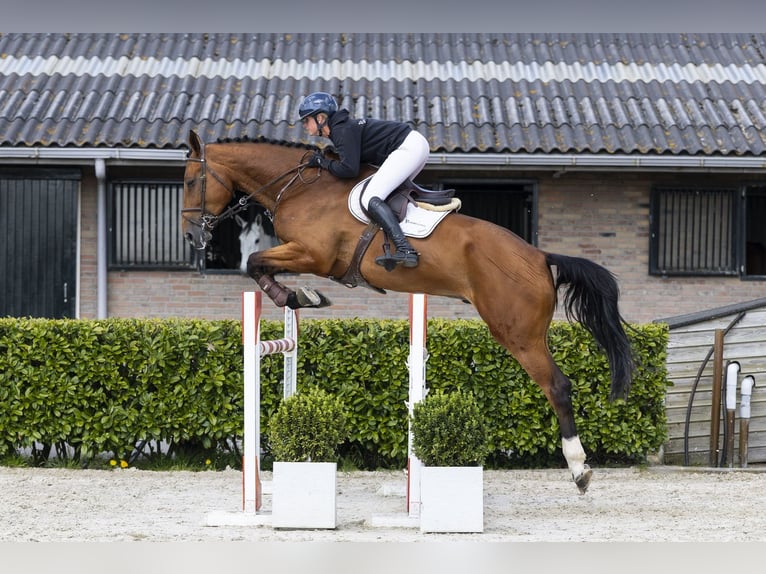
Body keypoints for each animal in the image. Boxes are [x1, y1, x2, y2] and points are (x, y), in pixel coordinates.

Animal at [181, 129, 634, 493]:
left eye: (189, 181)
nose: (189, 236)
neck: (299, 188)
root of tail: (539, 256)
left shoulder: (313, 254)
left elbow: (255, 262)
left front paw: (299, 296)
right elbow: (258, 265)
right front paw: (299, 297)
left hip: (518, 334)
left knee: (558, 387)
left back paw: (579, 470)